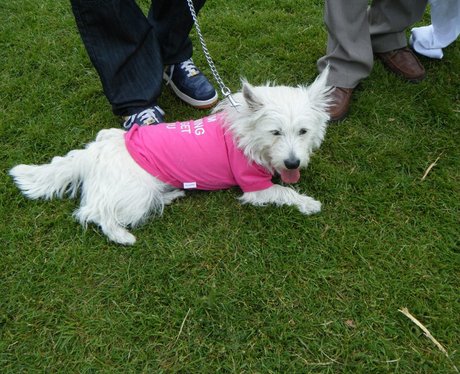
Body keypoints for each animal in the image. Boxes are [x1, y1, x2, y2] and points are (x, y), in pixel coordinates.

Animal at [9, 70, 330, 245]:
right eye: (275, 132)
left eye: (303, 131)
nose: (293, 163)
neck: (245, 135)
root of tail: (93, 153)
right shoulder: (254, 187)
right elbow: (283, 192)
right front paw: (308, 203)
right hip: (134, 195)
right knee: (93, 211)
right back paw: (122, 235)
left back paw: (172, 194)